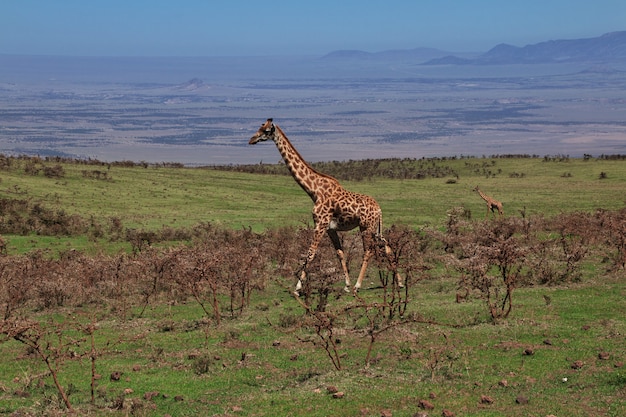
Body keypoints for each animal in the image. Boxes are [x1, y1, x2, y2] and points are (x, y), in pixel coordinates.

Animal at [246, 117, 402, 294]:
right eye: (260, 127)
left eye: (266, 131)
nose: (251, 140)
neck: (314, 190)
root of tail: (379, 209)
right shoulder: (330, 228)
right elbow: (340, 253)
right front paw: (346, 285)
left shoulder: (320, 224)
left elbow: (310, 253)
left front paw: (297, 288)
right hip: (375, 227)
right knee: (387, 245)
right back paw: (399, 282)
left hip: (366, 227)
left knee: (368, 251)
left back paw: (358, 285)